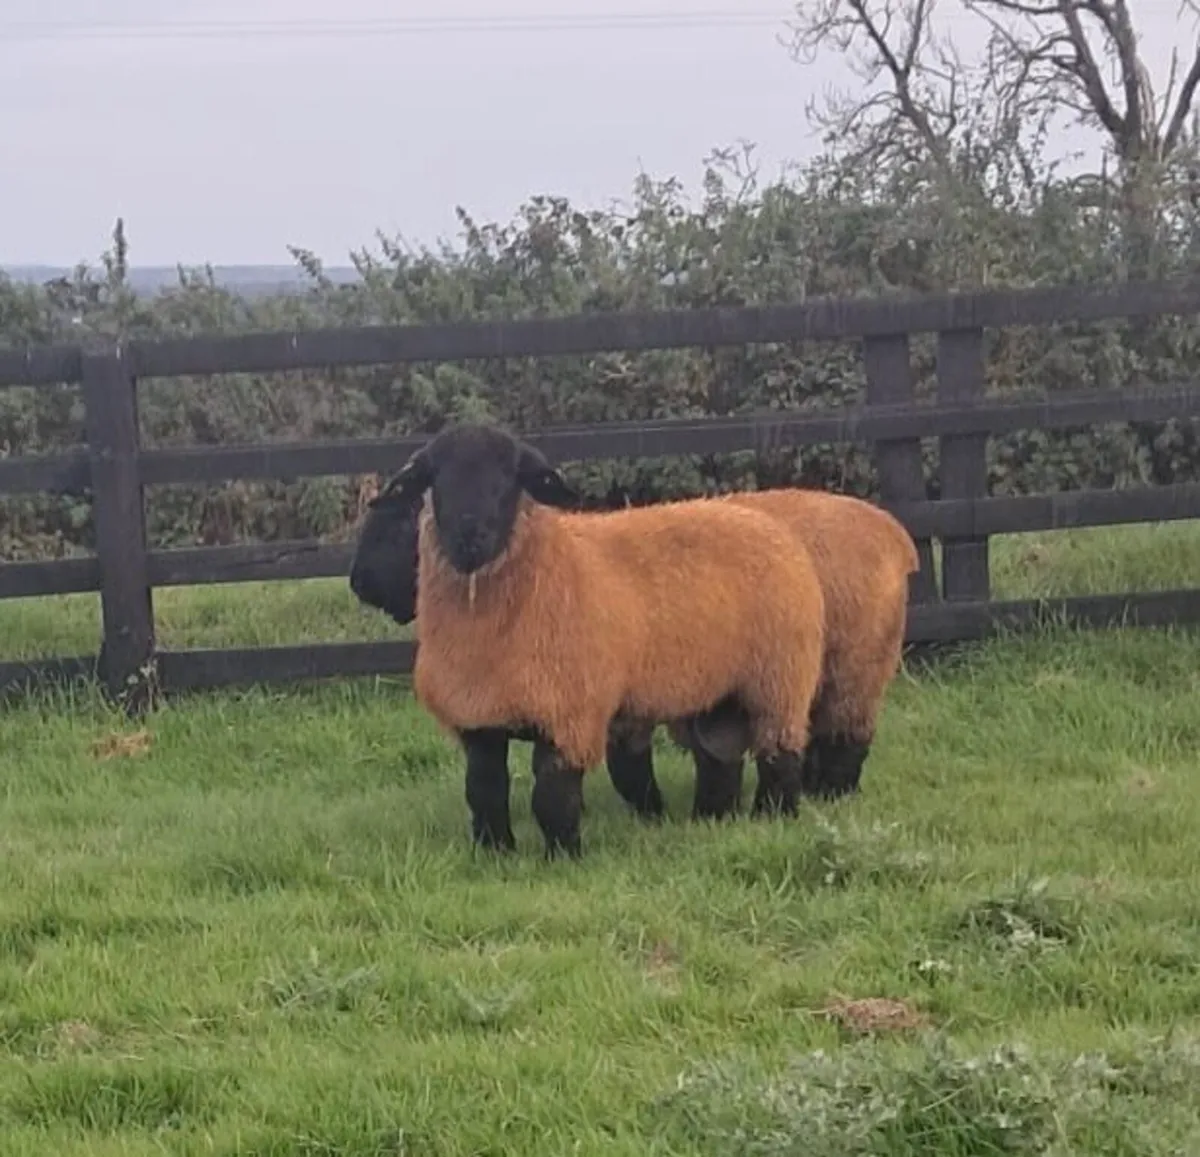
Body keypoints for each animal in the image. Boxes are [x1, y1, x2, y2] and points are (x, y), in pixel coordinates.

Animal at [349, 454, 916, 829]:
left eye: (397, 524)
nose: (358, 583)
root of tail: (892, 530)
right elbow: (631, 765)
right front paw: (653, 817)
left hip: (846, 665)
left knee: (841, 736)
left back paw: (825, 797)